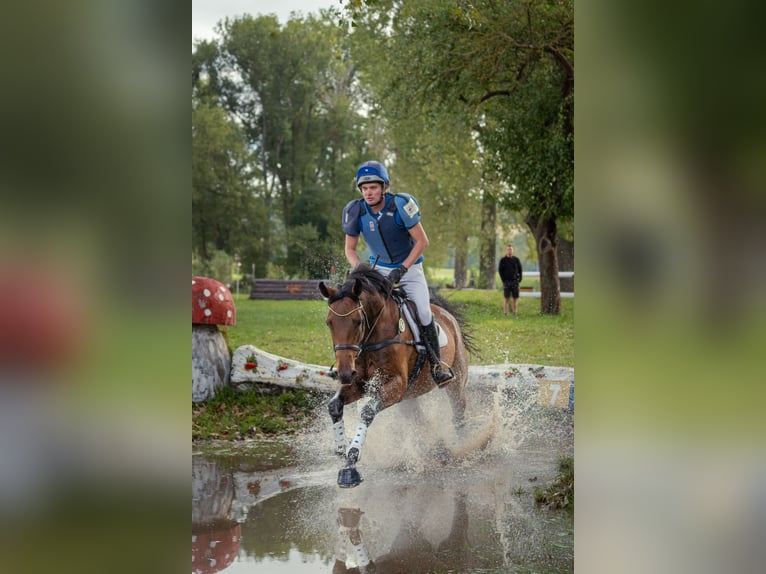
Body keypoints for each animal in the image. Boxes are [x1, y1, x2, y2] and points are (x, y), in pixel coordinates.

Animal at [318, 265, 472, 488]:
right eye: (329, 323)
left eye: (357, 322)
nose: (344, 373)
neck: (372, 336)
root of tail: (448, 316)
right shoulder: (361, 384)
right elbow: (334, 405)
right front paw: (341, 449)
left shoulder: (396, 385)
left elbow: (367, 412)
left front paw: (350, 466)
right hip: (410, 397)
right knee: (420, 420)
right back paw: (435, 448)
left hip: (455, 381)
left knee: (458, 412)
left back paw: (464, 447)